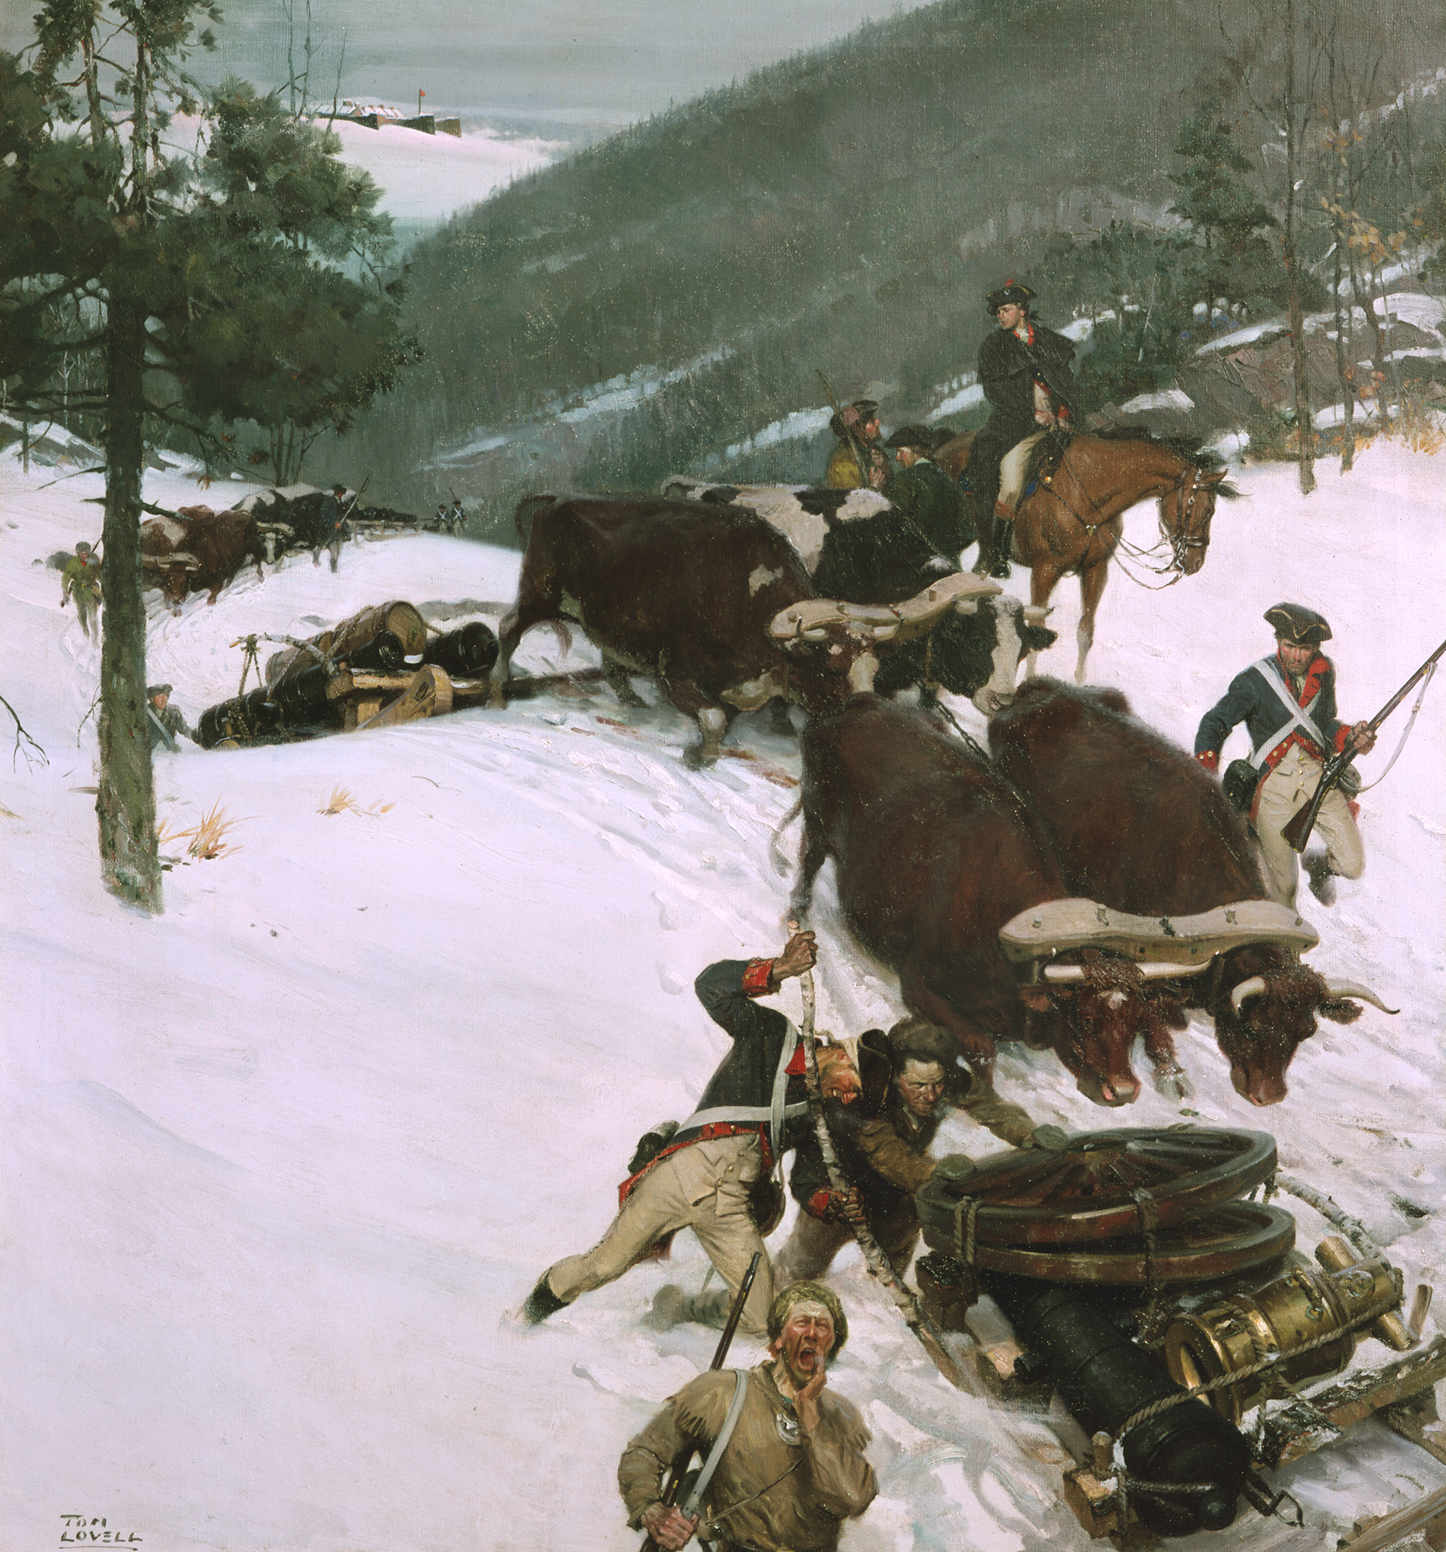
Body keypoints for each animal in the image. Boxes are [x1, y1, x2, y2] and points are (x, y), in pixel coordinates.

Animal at [937, 434, 1228, 682]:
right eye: (1204, 510)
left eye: (1212, 510)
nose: (1196, 562)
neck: (1084, 492)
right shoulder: (1044, 571)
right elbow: (1037, 626)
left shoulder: (1095, 570)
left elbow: (1086, 631)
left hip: (984, 547)